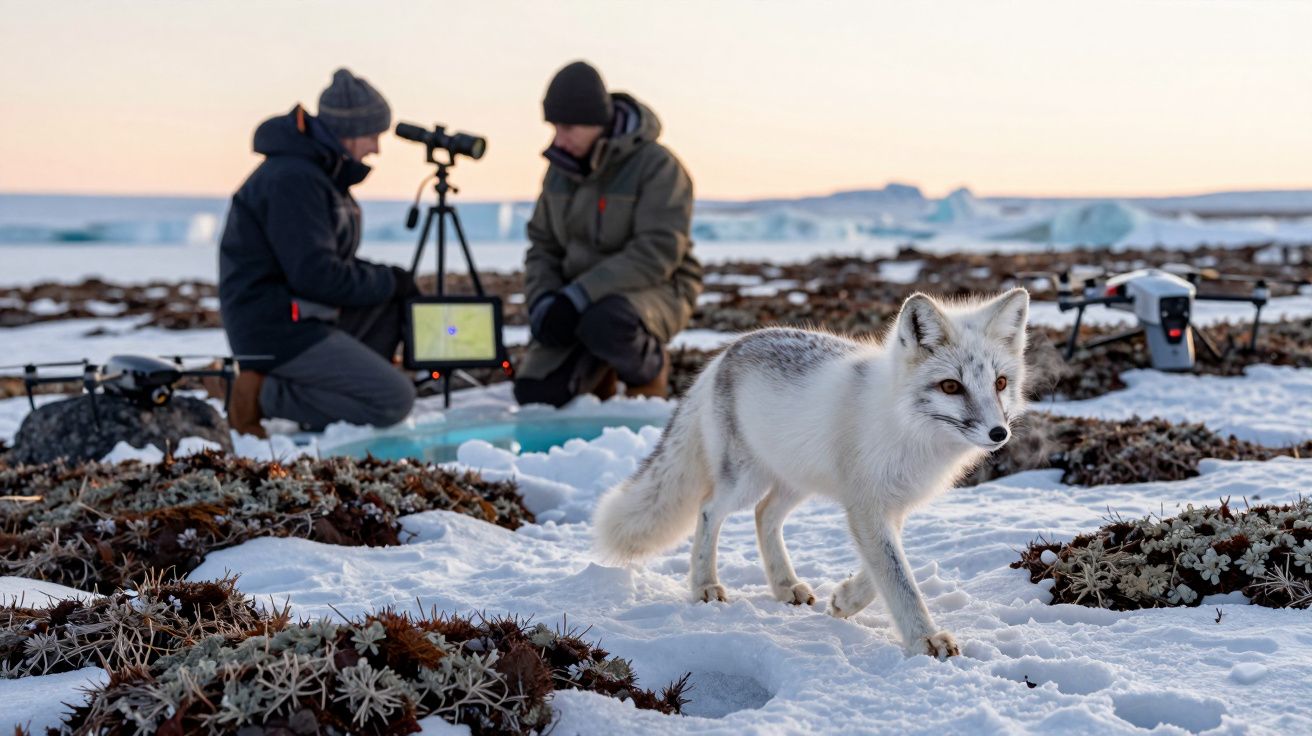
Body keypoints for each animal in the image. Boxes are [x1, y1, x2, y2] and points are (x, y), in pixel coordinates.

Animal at [593, 288, 1029, 658]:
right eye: (951, 386)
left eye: (1000, 383)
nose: (999, 433)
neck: (908, 428)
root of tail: (727, 351)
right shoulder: (866, 507)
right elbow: (898, 578)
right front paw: (925, 639)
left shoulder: (891, 505)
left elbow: (881, 573)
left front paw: (847, 600)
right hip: (744, 482)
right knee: (708, 511)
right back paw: (705, 584)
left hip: (795, 483)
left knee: (764, 516)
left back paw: (784, 585)